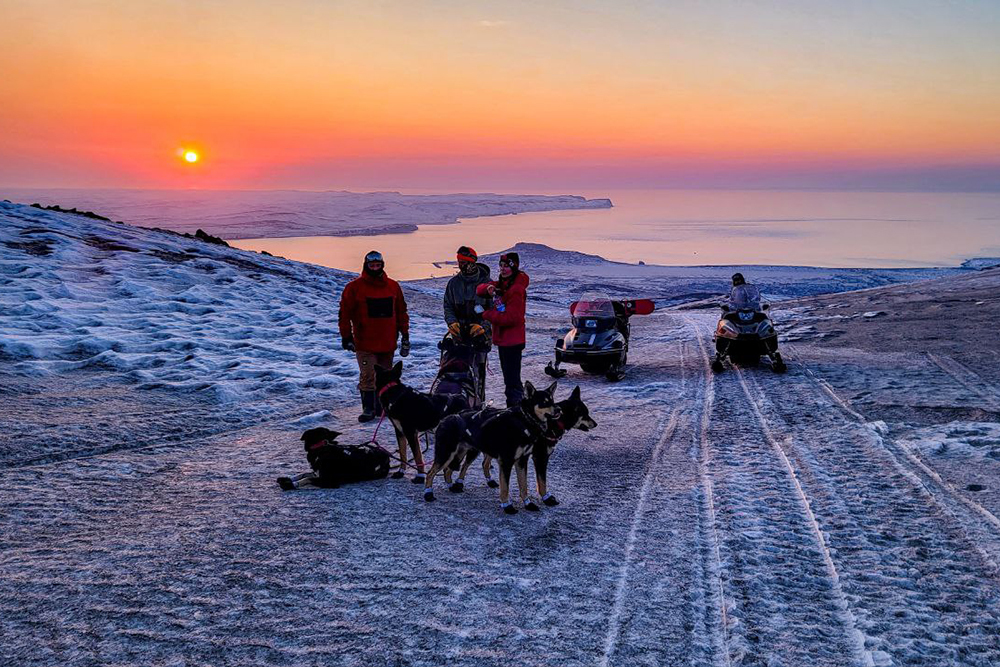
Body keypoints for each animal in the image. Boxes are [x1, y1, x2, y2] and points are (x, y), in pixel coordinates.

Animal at [420, 384, 592, 516]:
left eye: (553, 401)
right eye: (544, 402)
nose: (595, 423)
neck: (525, 423)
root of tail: (448, 417)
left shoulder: (522, 460)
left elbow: (523, 485)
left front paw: (528, 503)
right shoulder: (527, 459)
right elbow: (518, 486)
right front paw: (509, 505)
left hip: (464, 452)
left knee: (453, 469)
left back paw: (453, 486)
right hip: (447, 453)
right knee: (432, 472)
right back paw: (428, 493)